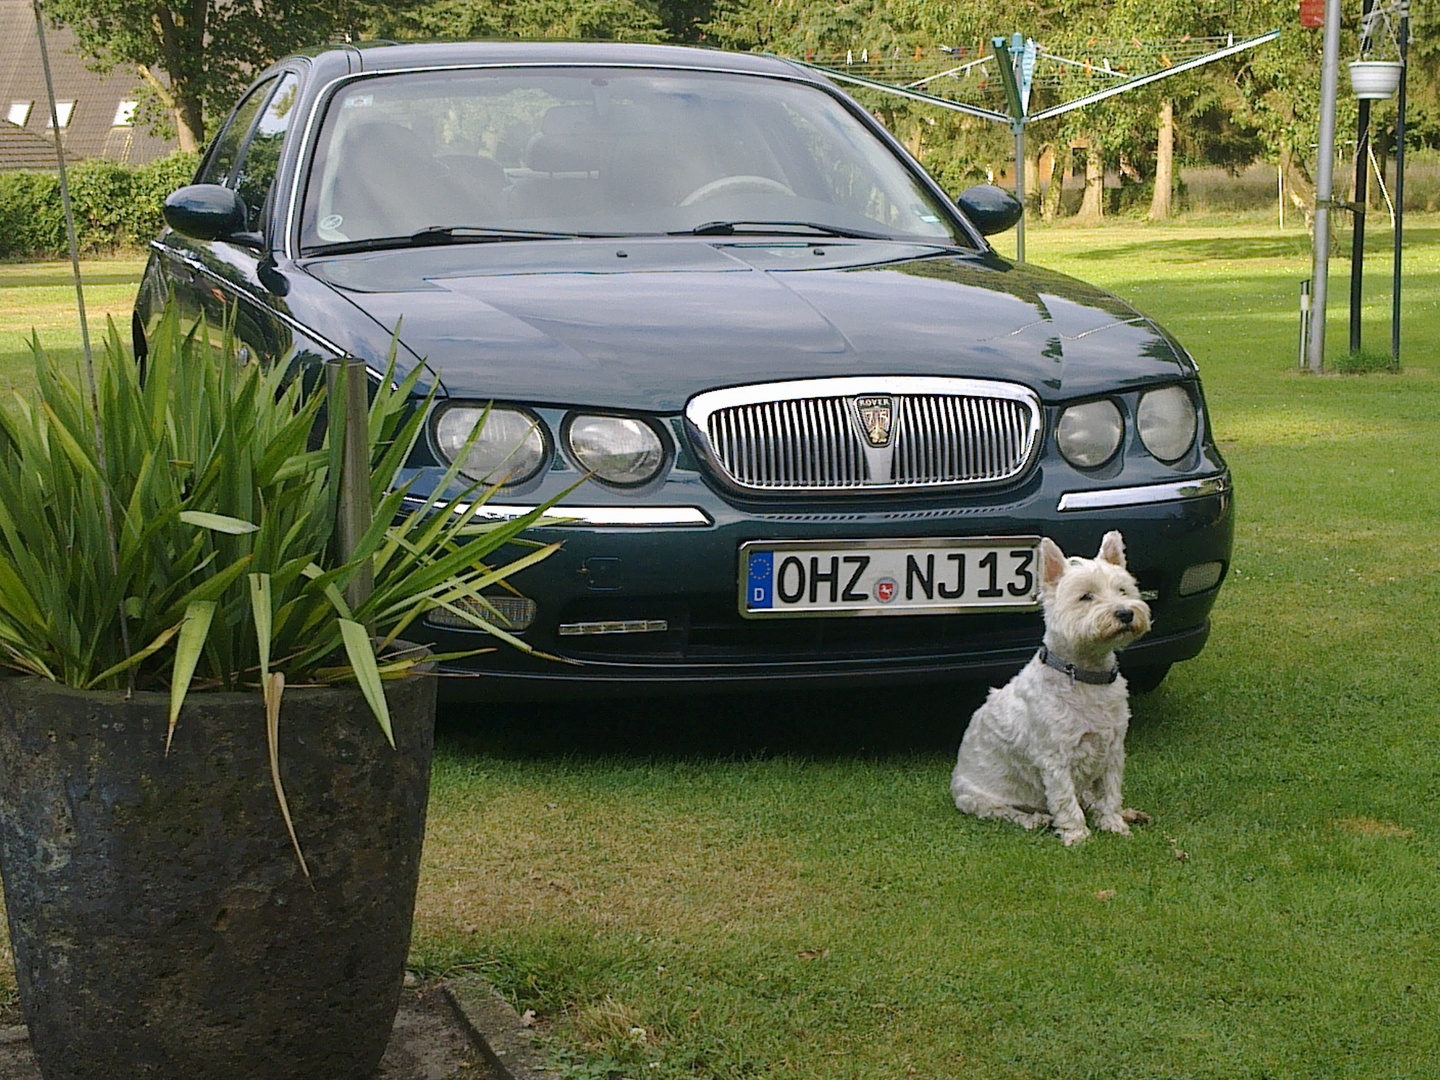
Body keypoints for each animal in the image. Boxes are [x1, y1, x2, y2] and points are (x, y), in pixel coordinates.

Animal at [950, 529, 1152, 846]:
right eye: (1086, 596)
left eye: (1122, 590)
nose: (1125, 614)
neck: (1085, 675)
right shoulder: (1055, 757)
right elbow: (1065, 799)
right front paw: (1077, 835)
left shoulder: (1113, 751)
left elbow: (1109, 793)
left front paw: (1114, 824)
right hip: (973, 796)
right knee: (1005, 811)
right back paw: (1036, 819)